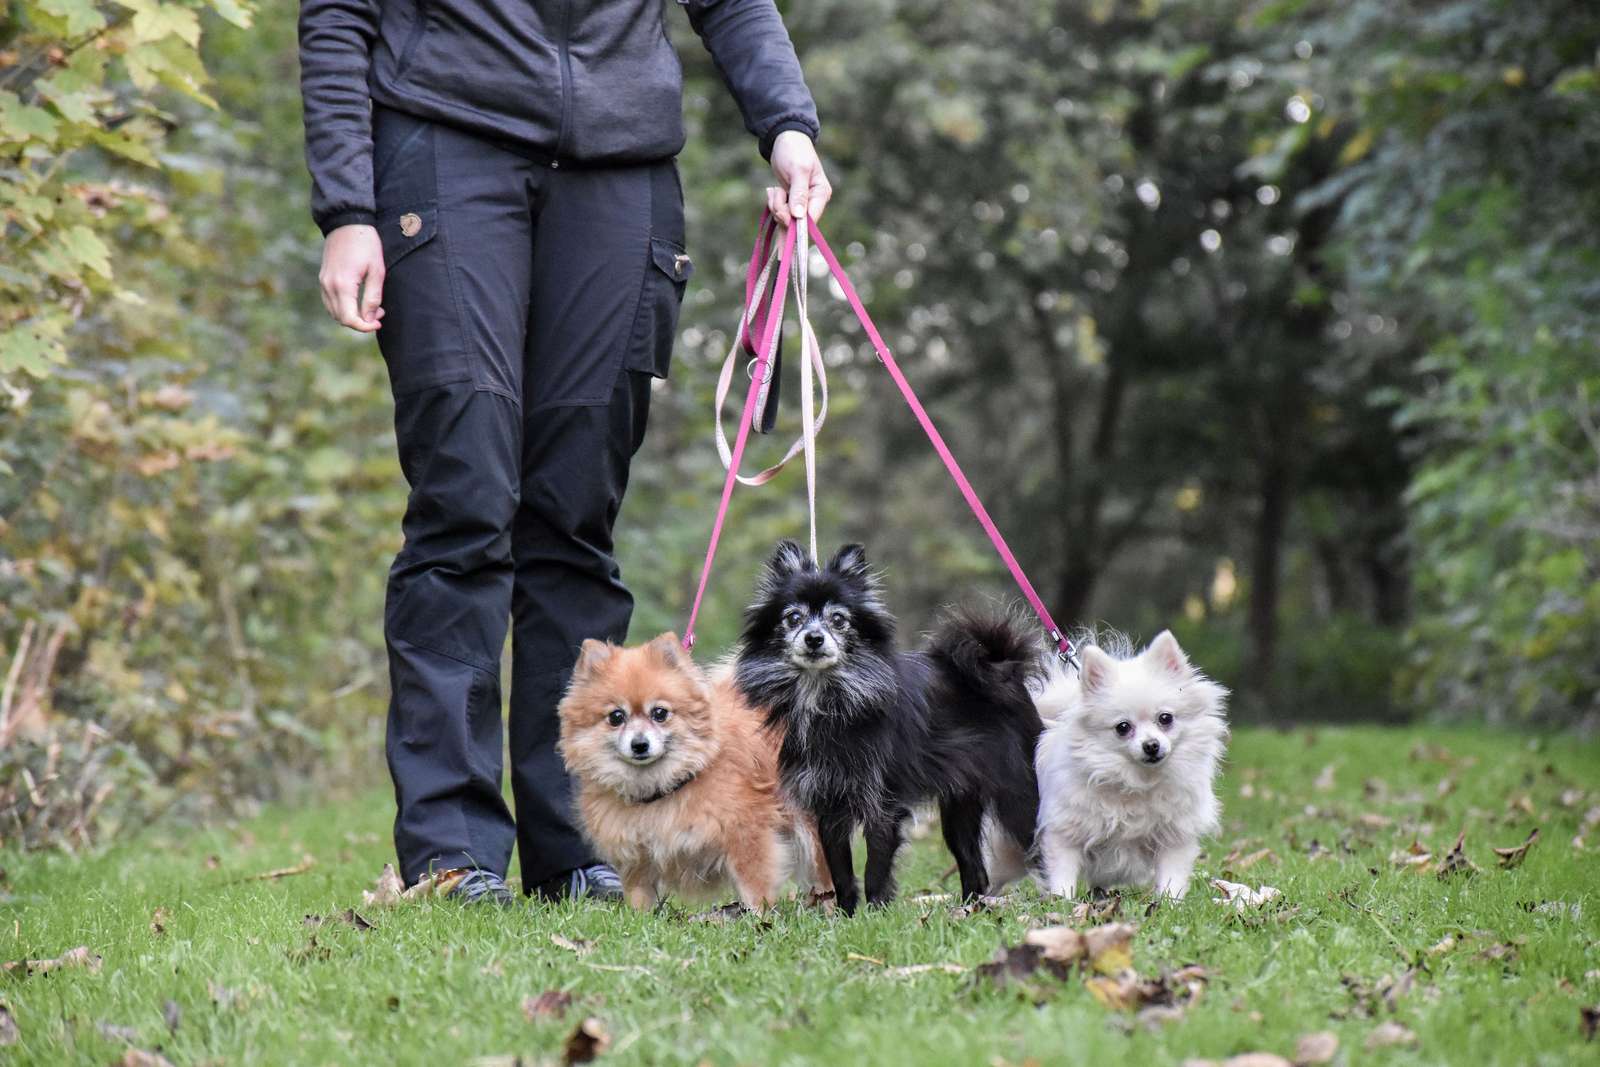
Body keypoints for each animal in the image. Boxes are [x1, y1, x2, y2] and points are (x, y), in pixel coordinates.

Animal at [556, 630, 832, 915]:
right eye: (616, 717)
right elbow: (639, 895)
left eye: (660, 713)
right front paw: (639, 919)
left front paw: (758, 918)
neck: (664, 785)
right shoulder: (636, 858)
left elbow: (755, 888)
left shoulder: (747, 837)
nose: (639, 744)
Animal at [732, 547, 1043, 915]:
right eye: (793, 618)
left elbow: (875, 869)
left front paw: (876, 914)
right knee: (974, 867)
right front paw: (846, 915)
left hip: (1017, 795)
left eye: (838, 620)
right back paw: (969, 912)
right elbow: (841, 871)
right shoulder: (829, 807)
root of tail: (1004, 670)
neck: (828, 696)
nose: (814, 638)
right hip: (960, 806)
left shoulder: (882, 806)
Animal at [998, 630, 1222, 895]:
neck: (1138, 780)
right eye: (1123, 727)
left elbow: (1172, 875)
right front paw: (1062, 899)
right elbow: (1063, 872)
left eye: (1165, 718)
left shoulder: (1175, 837)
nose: (1151, 745)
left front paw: (1170, 900)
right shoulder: (1064, 832)